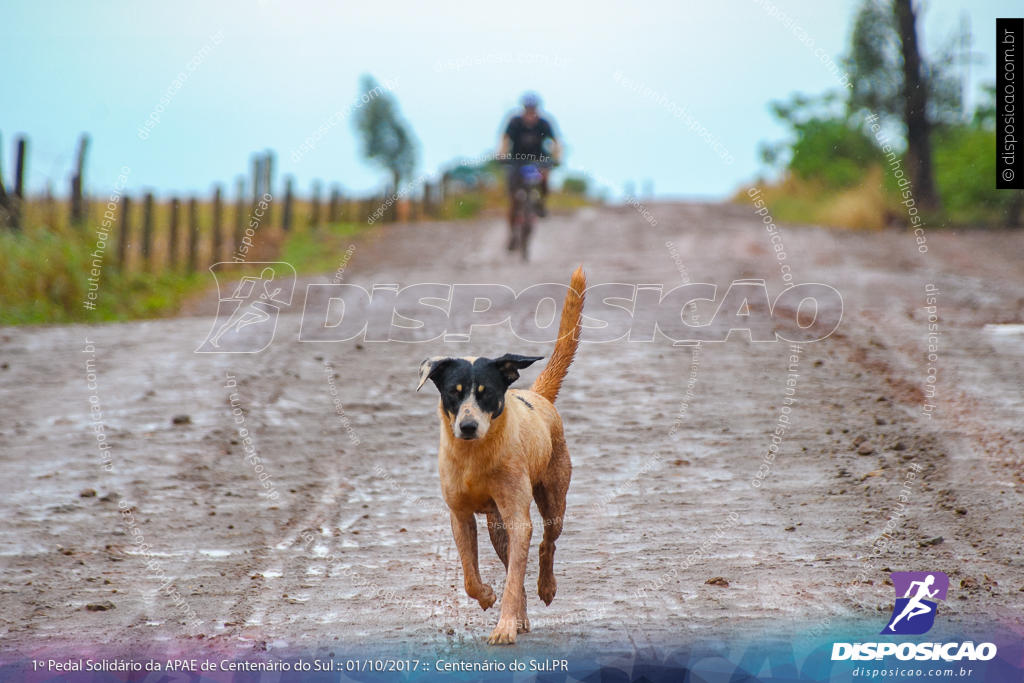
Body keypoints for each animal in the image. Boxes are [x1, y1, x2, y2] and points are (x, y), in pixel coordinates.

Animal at [417, 266, 585, 643]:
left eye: (487, 392)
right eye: (453, 392)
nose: (467, 426)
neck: (473, 457)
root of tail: (537, 395)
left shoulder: (517, 515)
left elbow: (516, 573)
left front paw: (505, 626)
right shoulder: (460, 515)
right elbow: (470, 575)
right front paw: (487, 597)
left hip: (553, 497)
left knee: (546, 544)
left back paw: (545, 588)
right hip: (496, 523)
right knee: (512, 564)